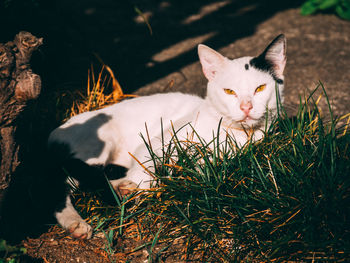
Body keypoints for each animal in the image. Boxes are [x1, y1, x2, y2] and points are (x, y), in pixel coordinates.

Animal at [47, 34, 286, 240]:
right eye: (229, 91)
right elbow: (146, 169)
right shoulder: (158, 141)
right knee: (59, 187)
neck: (235, 135)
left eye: (260, 88)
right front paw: (140, 186)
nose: (246, 107)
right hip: (98, 144)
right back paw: (79, 221)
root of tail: (54, 133)